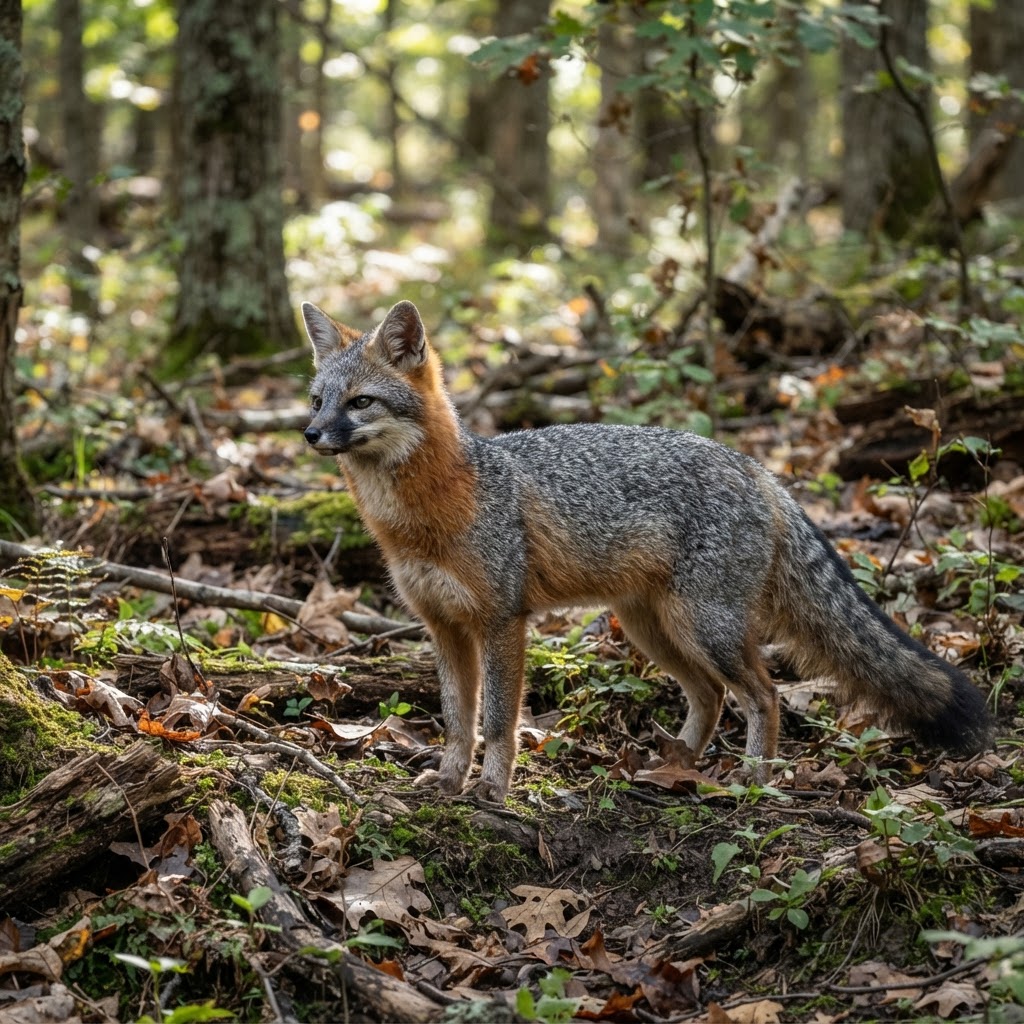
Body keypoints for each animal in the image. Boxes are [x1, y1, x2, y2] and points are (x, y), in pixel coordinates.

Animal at [300, 298, 994, 803]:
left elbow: (496, 720)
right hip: (652, 629)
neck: (430, 509)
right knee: (710, 696)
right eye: (316, 400)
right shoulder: (443, 628)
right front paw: (448, 780)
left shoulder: (501, 621)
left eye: (360, 402)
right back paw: (678, 762)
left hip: (703, 627)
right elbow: (456, 719)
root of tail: (755, 468)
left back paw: (753, 777)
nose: (308, 433)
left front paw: (492, 789)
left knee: (762, 695)